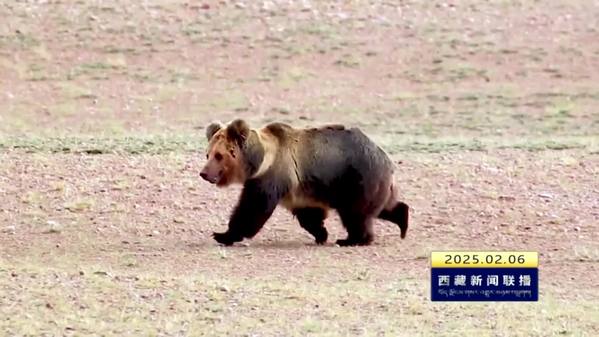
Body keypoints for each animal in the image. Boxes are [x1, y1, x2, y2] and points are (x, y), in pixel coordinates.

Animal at [199, 119, 410, 245]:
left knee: (356, 213)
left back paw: (353, 239)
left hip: (357, 179)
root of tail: (386, 158)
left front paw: (223, 234)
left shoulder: (272, 176)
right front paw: (321, 234)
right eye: (207, 154)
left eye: (219, 155)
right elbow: (309, 214)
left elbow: (252, 208)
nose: (204, 173)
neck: (259, 161)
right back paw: (402, 220)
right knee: (381, 206)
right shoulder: (298, 188)